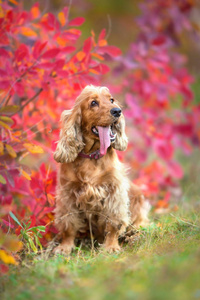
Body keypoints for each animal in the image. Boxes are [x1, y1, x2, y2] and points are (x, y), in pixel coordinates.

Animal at [53, 85, 150, 254]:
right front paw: (65, 247)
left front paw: (111, 246)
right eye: (93, 103)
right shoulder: (68, 194)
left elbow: (113, 223)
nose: (117, 111)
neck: (92, 157)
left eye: (111, 100)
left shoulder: (114, 192)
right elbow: (69, 224)